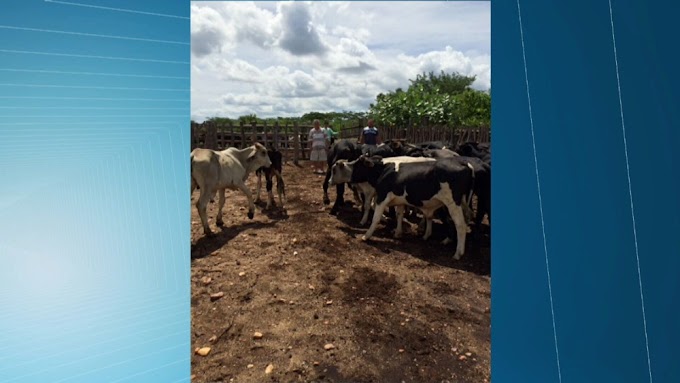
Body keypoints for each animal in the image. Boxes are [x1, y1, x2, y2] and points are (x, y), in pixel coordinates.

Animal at [328, 156, 472, 260]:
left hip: (453, 204)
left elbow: (375, 218)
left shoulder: (381, 197)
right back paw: (429, 236)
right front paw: (397, 232)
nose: (329, 181)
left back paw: (458, 253)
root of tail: (464, 163)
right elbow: (399, 215)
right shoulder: (400, 201)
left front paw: (366, 235)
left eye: (358, 164)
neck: (383, 170)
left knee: (460, 225)